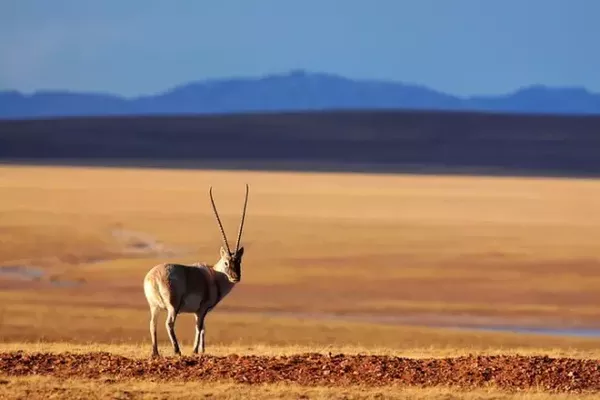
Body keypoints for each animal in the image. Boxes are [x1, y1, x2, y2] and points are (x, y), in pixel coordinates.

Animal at [143, 184, 248, 356]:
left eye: (238, 261)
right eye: (226, 262)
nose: (235, 277)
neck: (214, 275)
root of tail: (154, 277)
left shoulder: (197, 312)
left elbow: (202, 328)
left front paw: (201, 350)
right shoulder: (202, 309)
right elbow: (199, 327)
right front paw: (194, 350)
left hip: (154, 306)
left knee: (153, 324)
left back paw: (155, 353)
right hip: (173, 306)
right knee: (169, 324)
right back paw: (177, 351)